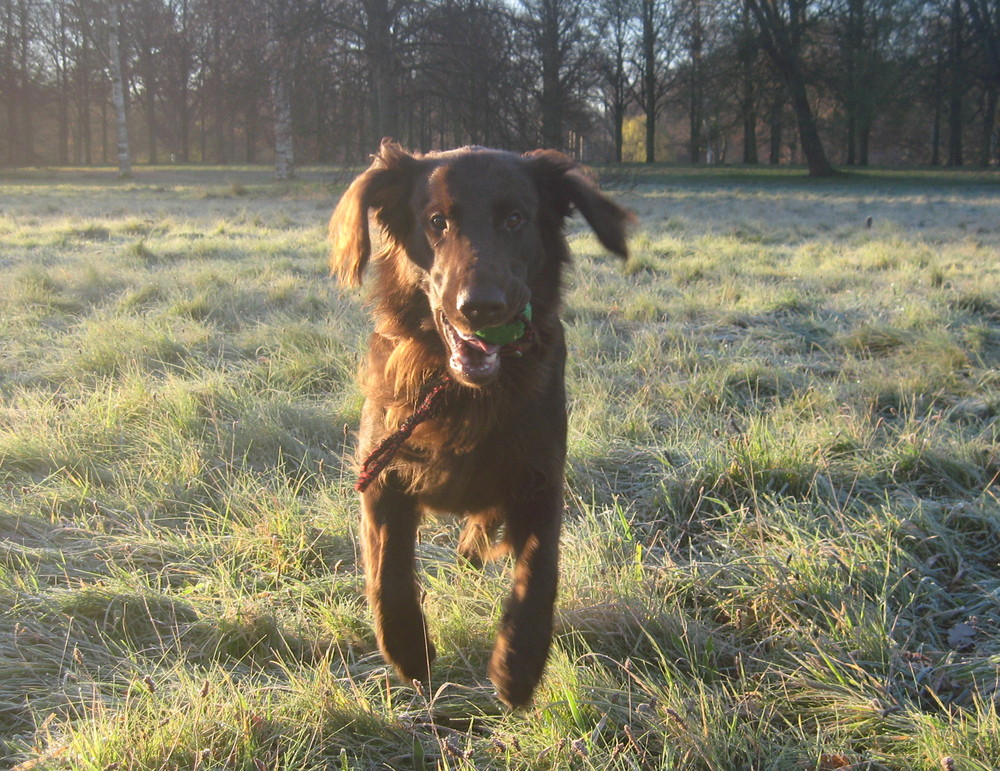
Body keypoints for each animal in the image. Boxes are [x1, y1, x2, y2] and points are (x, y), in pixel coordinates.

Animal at [330, 140, 632, 712]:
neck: (464, 394)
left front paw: (519, 665)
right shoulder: (382, 469)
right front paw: (408, 649)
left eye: (515, 218)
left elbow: (539, 571)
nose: (480, 306)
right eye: (437, 222)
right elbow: (388, 570)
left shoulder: (539, 477)